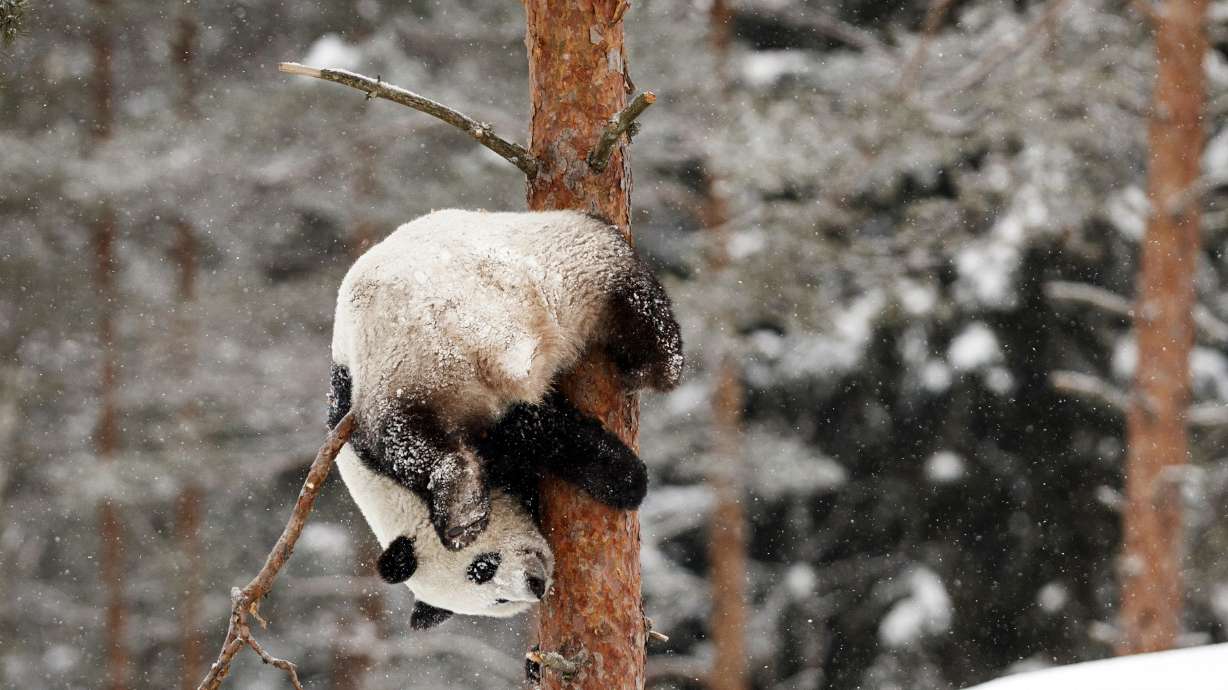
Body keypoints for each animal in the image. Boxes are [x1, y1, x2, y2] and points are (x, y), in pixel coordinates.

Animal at [327, 209, 682, 626]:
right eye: (497, 598)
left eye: (483, 567)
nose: (535, 585)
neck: (391, 499)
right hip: (558, 278)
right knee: (631, 306)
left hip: (399, 364)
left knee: (412, 437)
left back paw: (462, 511)